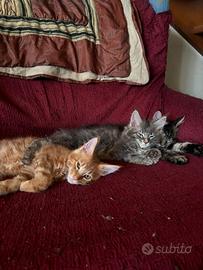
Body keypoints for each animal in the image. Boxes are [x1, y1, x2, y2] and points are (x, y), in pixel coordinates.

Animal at [22, 110, 167, 166]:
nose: (145, 141)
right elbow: (133, 156)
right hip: (67, 142)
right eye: (140, 134)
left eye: (151, 136)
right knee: (41, 141)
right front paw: (147, 158)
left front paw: (154, 152)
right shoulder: (119, 150)